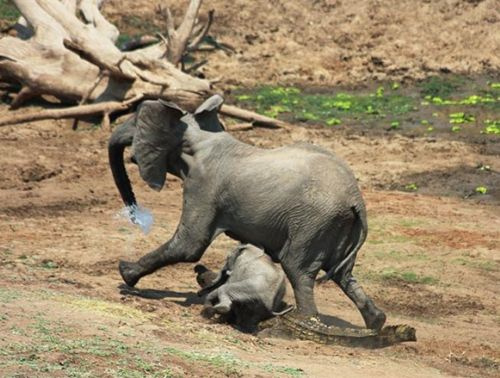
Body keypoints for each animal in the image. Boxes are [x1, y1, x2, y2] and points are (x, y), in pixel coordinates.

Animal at [107, 94, 384, 330]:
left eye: (135, 122)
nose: (136, 216)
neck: (197, 135)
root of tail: (356, 199)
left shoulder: (203, 186)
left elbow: (189, 245)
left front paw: (125, 274)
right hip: (338, 226)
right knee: (344, 275)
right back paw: (376, 323)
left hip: (314, 222)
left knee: (298, 269)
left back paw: (305, 322)